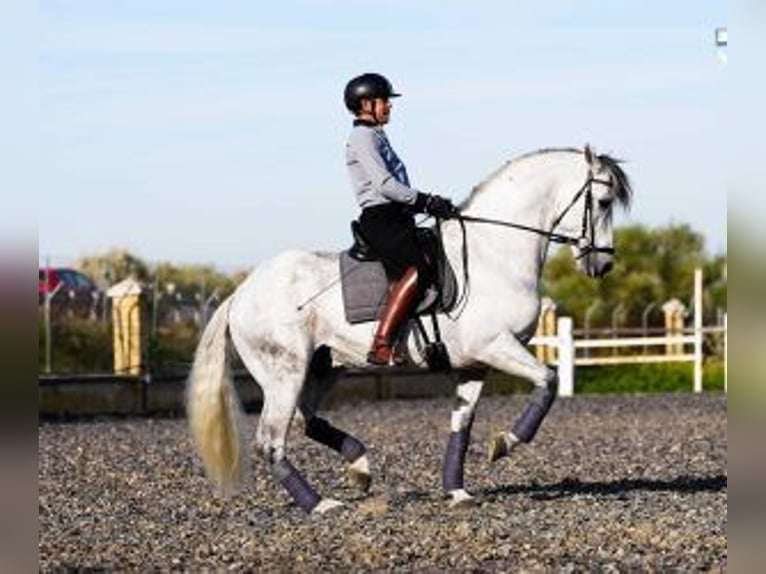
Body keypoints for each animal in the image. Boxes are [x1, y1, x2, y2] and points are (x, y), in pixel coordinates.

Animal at [188, 146, 636, 516]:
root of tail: (240, 292)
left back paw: (360, 467)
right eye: (602, 201)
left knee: (306, 419)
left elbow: (462, 426)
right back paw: (321, 504)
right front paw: (505, 442)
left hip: (322, 367)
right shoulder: (496, 346)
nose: (603, 265)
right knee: (271, 441)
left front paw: (457, 491)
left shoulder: (474, 364)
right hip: (286, 372)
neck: (495, 253)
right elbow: (549, 380)